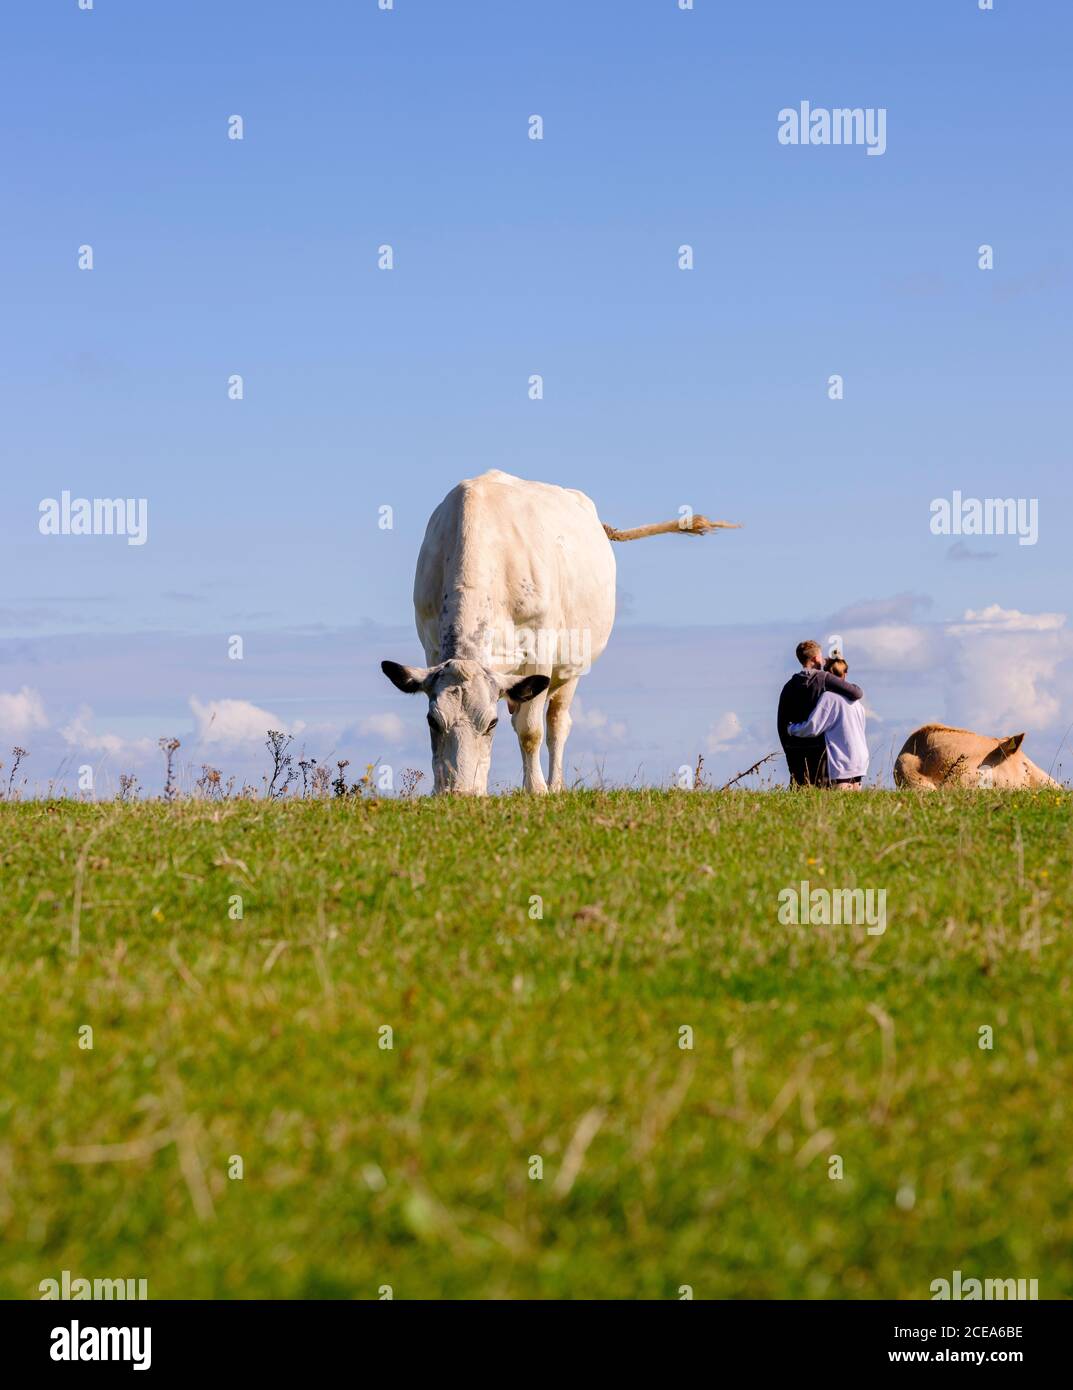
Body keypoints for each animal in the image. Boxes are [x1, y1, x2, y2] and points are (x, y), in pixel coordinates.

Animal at [381, 469, 738, 794]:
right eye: (432, 721)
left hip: (569, 669)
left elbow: (530, 730)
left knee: (556, 725)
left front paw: (536, 790)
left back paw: (555, 785)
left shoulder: (540, 649)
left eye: (491, 724)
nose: (460, 794)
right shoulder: (431, 647)